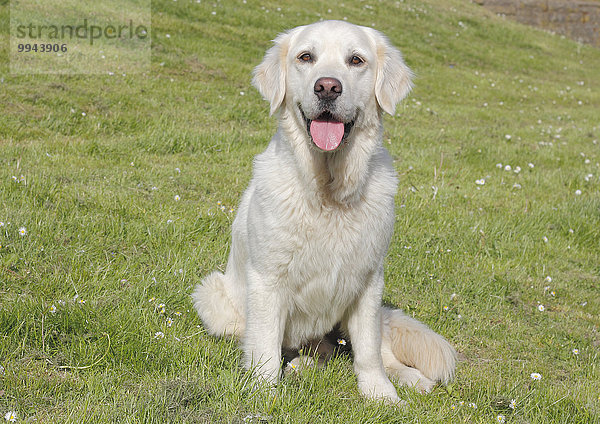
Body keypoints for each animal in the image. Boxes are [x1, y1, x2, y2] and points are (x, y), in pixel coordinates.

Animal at [195, 19, 458, 402]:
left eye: (356, 60)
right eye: (306, 57)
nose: (328, 87)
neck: (329, 191)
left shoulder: (368, 279)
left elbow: (368, 350)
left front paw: (380, 393)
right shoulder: (267, 279)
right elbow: (265, 347)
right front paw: (263, 394)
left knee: (364, 347)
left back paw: (407, 376)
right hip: (212, 295)